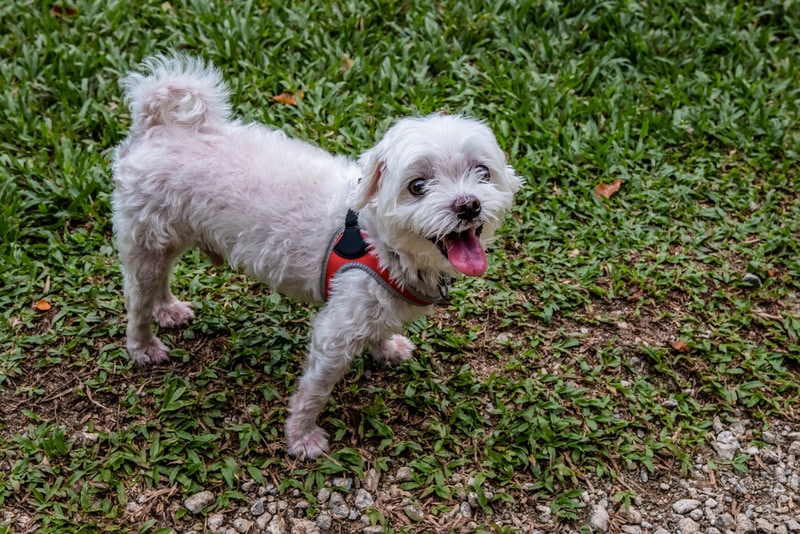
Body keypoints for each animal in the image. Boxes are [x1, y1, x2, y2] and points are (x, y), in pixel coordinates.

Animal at [112, 55, 520, 460]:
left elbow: (379, 330)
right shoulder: (336, 331)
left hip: (167, 238)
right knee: (137, 300)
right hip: (145, 240)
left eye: (482, 172)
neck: (378, 242)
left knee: (160, 279)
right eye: (417, 186)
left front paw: (386, 349)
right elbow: (315, 390)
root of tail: (156, 127)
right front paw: (301, 437)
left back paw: (168, 310)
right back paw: (143, 346)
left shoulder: (374, 308)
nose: (468, 205)